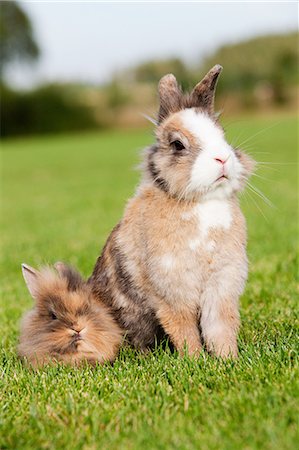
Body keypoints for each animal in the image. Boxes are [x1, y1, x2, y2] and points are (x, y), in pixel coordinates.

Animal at [89, 64, 255, 358]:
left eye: (222, 135)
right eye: (178, 144)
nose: (223, 158)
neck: (202, 202)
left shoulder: (222, 287)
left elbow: (221, 327)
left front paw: (228, 359)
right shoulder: (172, 291)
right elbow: (184, 329)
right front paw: (195, 360)